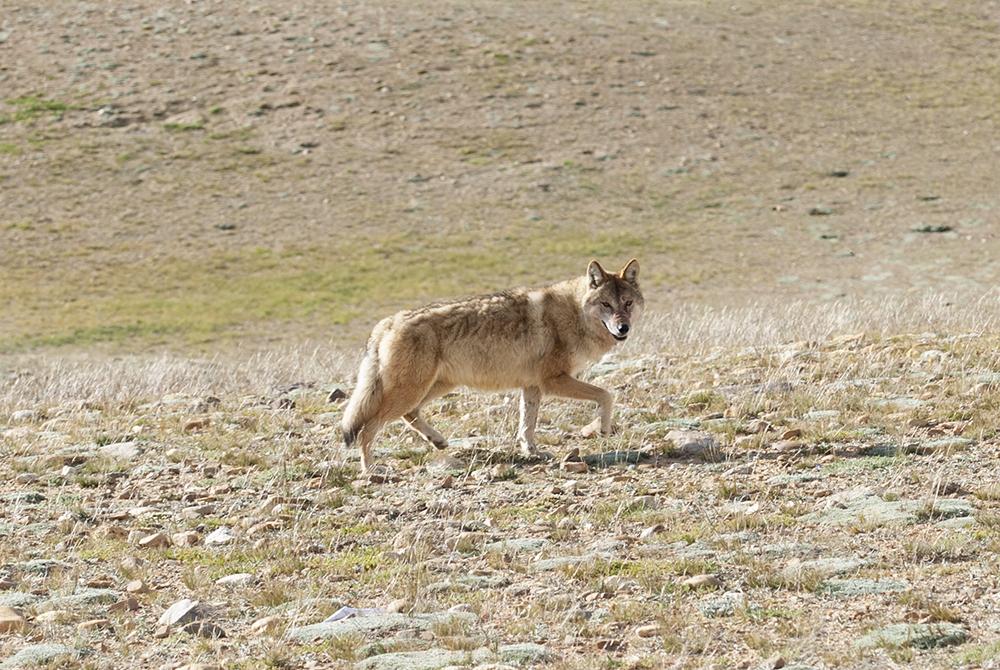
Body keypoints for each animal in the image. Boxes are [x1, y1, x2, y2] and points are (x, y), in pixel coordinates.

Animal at [342, 258, 640, 472]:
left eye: (627, 303)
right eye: (606, 304)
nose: (624, 328)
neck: (574, 314)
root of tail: (386, 323)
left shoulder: (532, 386)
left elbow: (527, 426)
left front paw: (532, 452)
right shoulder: (553, 380)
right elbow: (606, 395)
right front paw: (604, 429)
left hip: (433, 387)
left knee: (409, 414)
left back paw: (438, 441)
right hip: (411, 391)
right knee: (368, 428)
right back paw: (371, 469)